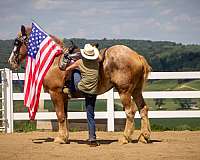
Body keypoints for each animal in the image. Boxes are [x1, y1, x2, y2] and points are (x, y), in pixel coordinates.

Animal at [7, 24, 152, 144]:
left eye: (17, 42)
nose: (11, 61)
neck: (54, 61)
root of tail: (137, 56)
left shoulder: (55, 93)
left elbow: (59, 115)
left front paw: (60, 138)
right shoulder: (64, 96)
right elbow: (65, 116)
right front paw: (65, 137)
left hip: (124, 91)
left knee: (130, 111)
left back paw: (125, 138)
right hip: (136, 91)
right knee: (143, 109)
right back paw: (144, 137)